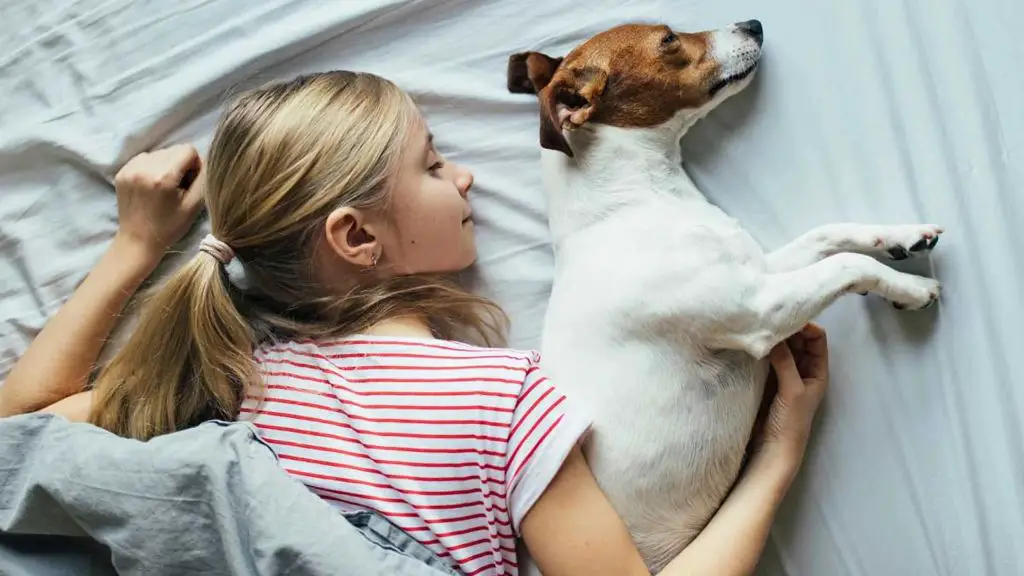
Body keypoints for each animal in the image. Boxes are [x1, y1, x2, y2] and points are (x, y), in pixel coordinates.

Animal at [507, 20, 937, 569]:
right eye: (668, 38)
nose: (754, 23)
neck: (640, 200)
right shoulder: (758, 312)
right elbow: (847, 263)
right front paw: (913, 288)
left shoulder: (760, 273)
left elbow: (830, 234)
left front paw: (904, 236)